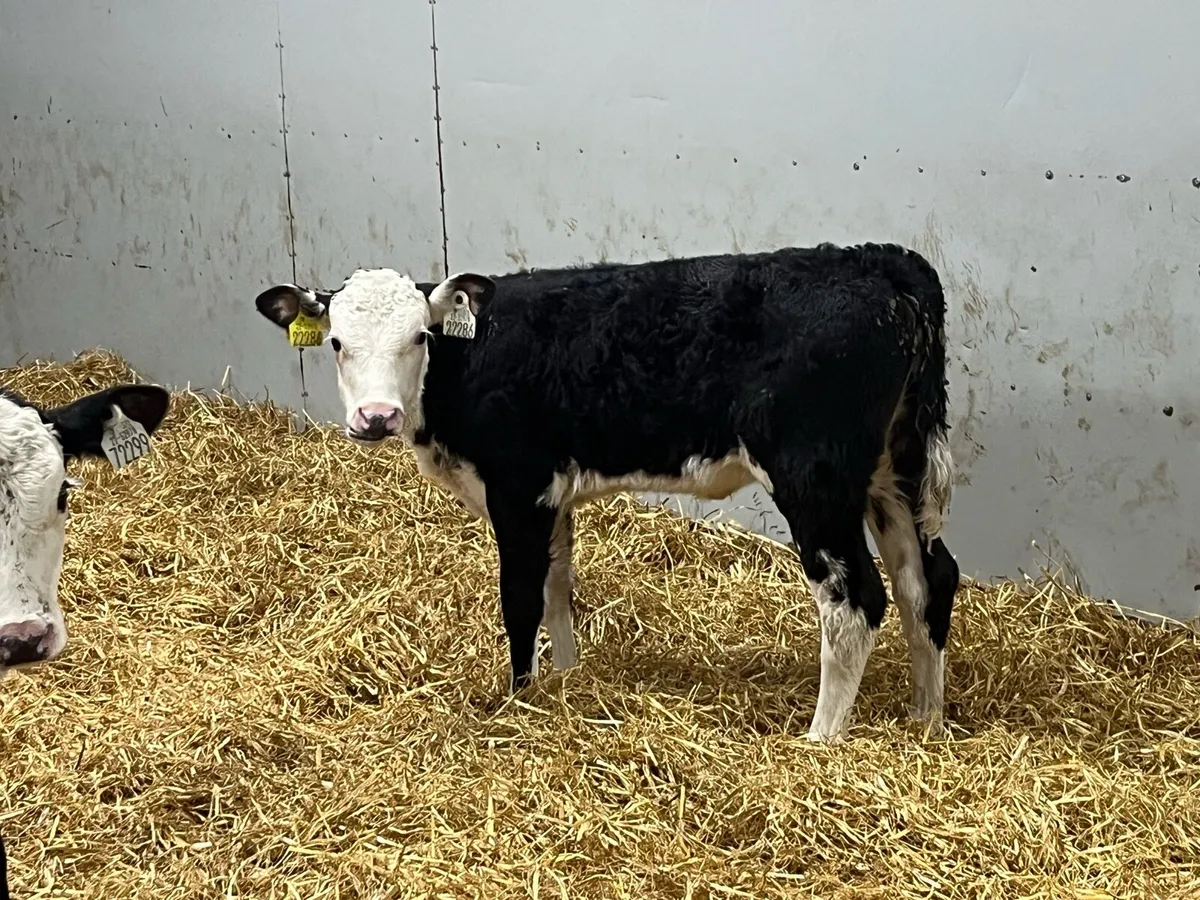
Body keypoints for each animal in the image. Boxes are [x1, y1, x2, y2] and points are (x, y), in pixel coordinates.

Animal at [253, 242, 960, 743]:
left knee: (856, 599)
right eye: (337, 342)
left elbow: (520, 600)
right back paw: (926, 719)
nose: (376, 417)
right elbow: (557, 587)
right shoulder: (553, 498)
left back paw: (819, 740)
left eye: (418, 337)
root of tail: (882, 263)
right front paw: (566, 679)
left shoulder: (517, 489)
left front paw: (519, 699)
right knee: (925, 580)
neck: (471, 359)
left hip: (816, 481)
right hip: (891, 471)